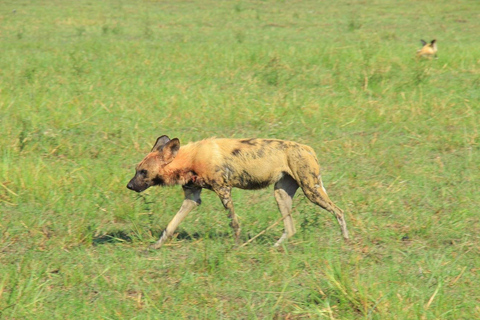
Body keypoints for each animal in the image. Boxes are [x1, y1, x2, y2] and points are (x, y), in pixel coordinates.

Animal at [126, 134, 348, 249]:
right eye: (136, 169)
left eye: (143, 172)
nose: (129, 186)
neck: (188, 159)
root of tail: (307, 148)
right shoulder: (192, 198)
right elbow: (170, 226)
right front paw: (156, 246)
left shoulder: (223, 190)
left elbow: (234, 223)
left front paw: (236, 246)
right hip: (281, 195)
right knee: (291, 228)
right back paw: (274, 248)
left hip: (312, 191)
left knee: (339, 211)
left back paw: (346, 240)